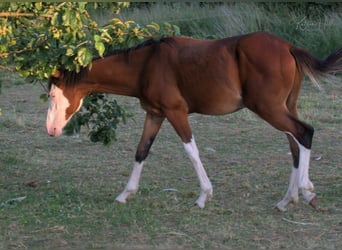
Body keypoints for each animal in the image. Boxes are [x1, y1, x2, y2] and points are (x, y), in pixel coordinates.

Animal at [46, 32, 342, 210]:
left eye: (52, 94)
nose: (51, 130)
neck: (146, 64)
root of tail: (289, 47)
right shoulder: (155, 114)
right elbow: (141, 151)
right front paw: (125, 194)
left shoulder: (175, 111)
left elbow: (191, 150)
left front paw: (203, 196)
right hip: (283, 107)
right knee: (295, 145)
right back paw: (287, 199)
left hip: (269, 108)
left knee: (304, 133)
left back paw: (306, 190)